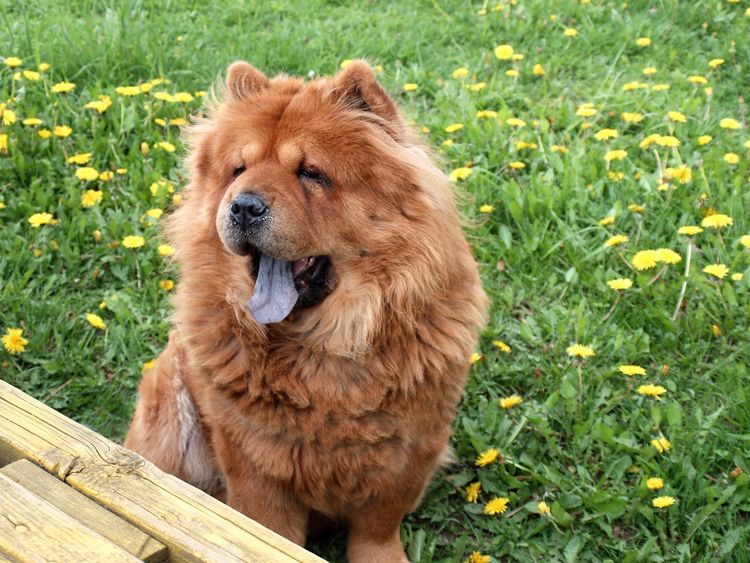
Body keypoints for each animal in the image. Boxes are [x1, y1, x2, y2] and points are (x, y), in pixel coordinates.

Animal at [126, 59, 490, 560]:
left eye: (311, 174)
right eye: (238, 169)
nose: (243, 205)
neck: (323, 346)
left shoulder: (412, 447)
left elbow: (378, 525)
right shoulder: (253, 458)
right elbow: (267, 529)